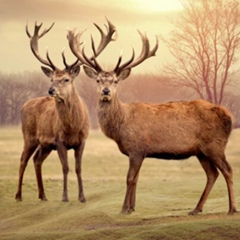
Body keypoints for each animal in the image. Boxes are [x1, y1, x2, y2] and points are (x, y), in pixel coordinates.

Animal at [15, 19, 116, 202]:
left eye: (66, 79)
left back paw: (43, 196)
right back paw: (18, 196)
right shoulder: (59, 140)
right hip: (29, 135)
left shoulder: (82, 140)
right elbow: (65, 168)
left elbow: (78, 168)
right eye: (52, 79)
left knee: (37, 159)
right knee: (23, 160)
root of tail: (23, 106)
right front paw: (65, 197)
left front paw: (82, 197)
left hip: (45, 144)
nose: (51, 90)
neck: (72, 127)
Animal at [66, 29, 237, 215]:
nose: (106, 91)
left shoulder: (136, 148)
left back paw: (232, 208)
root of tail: (229, 117)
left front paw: (123, 208)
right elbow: (136, 179)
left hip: (215, 145)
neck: (121, 127)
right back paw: (196, 209)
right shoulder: (140, 152)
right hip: (201, 151)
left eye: (115, 81)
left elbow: (129, 178)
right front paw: (132, 208)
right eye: (98, 80)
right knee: (212, 174)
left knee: (228, 170)